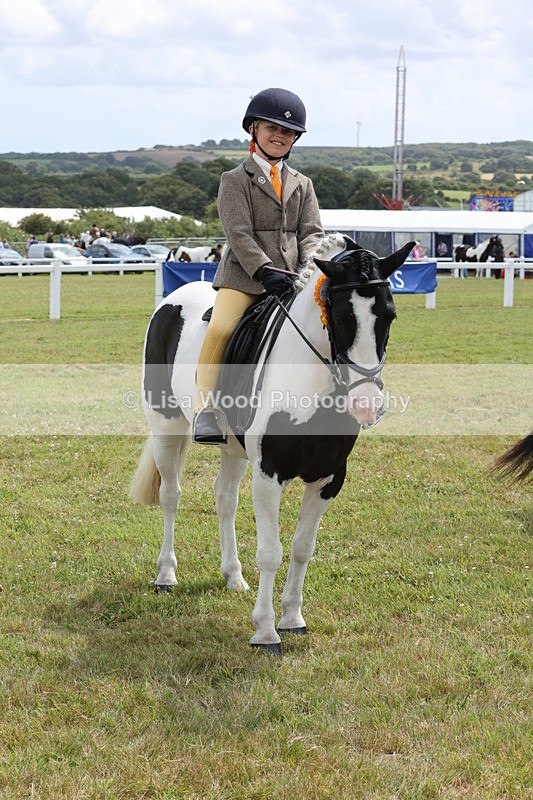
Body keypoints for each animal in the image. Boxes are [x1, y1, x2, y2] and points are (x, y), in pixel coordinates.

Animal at [129, 232, 415, 654]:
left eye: (390, 315)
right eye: (343, 317)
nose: (367, 405)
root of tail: (173, 299)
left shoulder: (329, 479)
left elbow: (301, 548)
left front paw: (293, 618)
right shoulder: (269, 475)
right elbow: (270, 553)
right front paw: (265, 632)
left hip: (232, 448)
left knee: (224, 499)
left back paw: (233, 576)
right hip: (165, 425)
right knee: (171, 496)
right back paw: (166, 575)